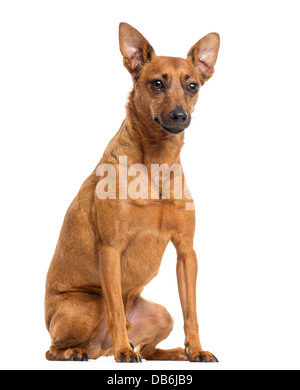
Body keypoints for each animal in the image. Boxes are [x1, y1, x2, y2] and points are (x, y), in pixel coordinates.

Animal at [44, 22, 219, 362]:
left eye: (192, 86)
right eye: (157, 84)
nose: (180, 116)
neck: (158, 163)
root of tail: (99, 348)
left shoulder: (186, 252)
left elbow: (191, 311)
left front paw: (196, 349)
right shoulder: (111, 250)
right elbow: (115, 309)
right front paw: (125, 350)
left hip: (162, 314)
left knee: (149, 349)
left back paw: (175, 352)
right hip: (86, 307)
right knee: (53, 348)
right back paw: (80, 351)